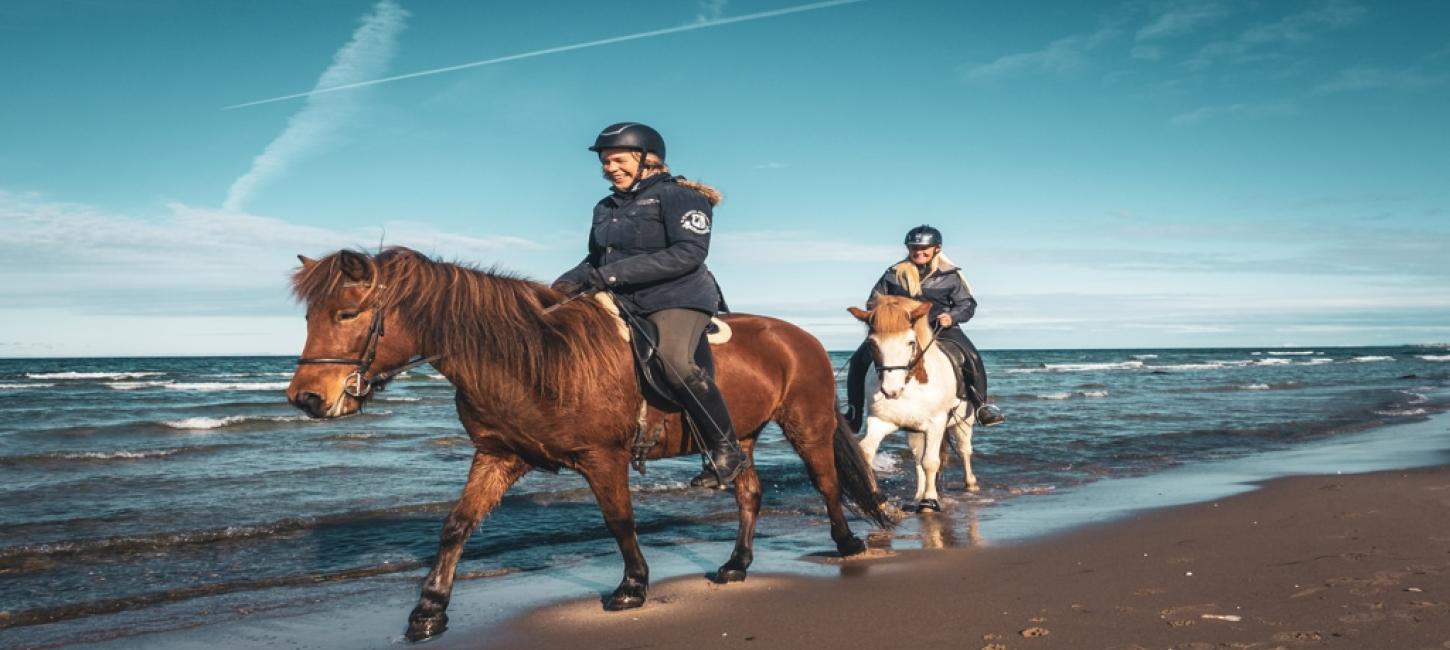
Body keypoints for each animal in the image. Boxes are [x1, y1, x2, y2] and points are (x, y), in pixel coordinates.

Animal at [285, 248, 893, 638]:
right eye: (311, 314)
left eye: (347, 313)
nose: (306, 398)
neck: (534, 358)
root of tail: (801, 336)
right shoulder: (498, 456)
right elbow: (456, 525)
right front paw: (429, 610)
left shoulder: (604, 458)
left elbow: (619, 521)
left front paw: (632, 587)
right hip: (737, 435)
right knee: (748, 490)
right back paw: (736, 565)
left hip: (806, 422)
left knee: (826, 482)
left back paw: (846, 544)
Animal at [846, 295, 980, 513]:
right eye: (872, 344)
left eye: (910, 342)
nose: (891, 391)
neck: (910, 385)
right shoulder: (881, 422)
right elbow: (866, 453)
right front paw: (876, 501)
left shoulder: (936, 423)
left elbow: (931, 461)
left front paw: (929, 501)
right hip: (915, 431)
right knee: (918, 458)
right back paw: (918, 494)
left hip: (963, 422)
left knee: (964, 450)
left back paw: (970, 485)